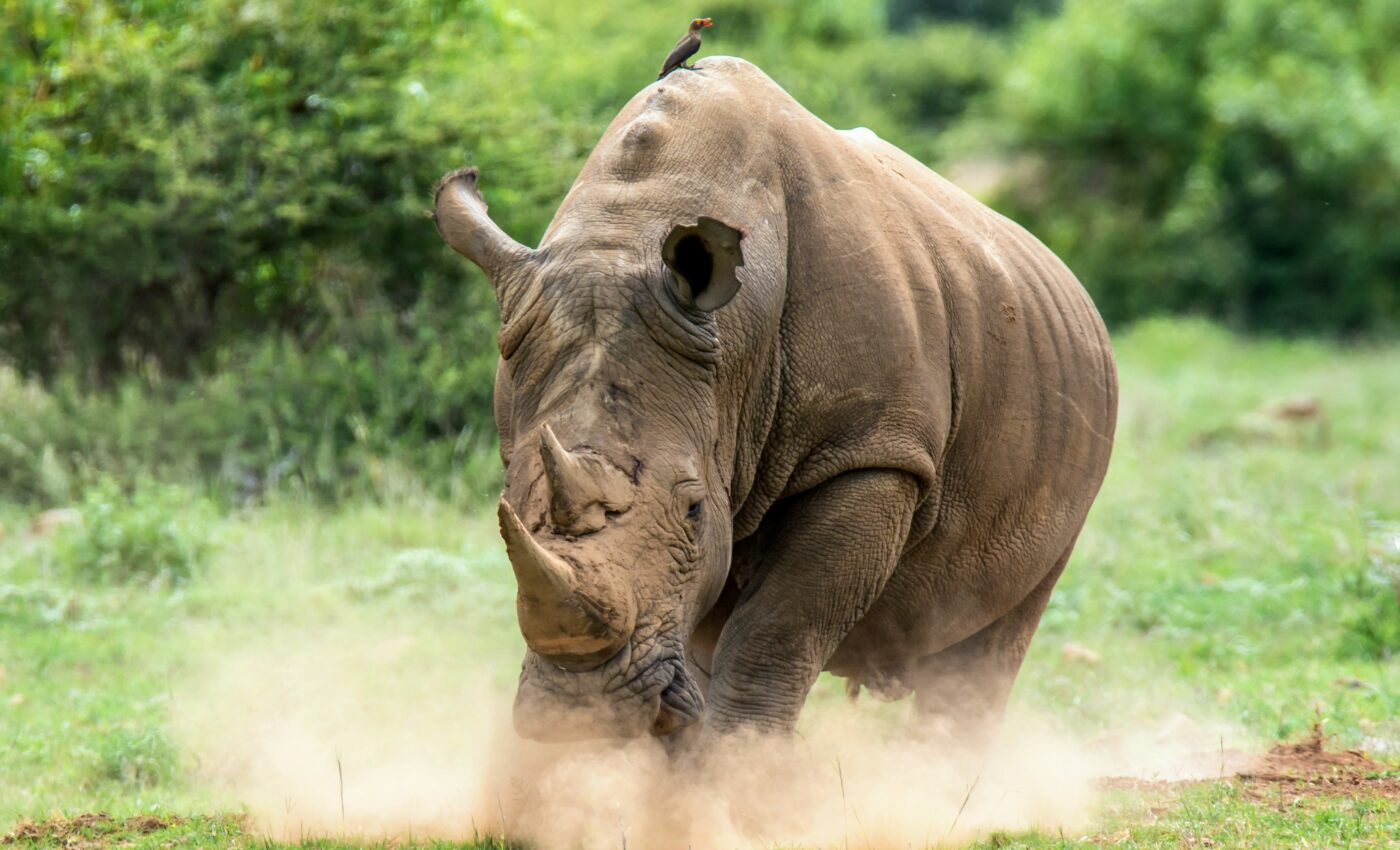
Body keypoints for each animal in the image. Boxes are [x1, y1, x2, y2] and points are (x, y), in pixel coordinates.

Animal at [433, 58, 1116, 745]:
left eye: (693, 510)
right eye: (507, 503)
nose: (574, 718)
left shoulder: (873, 450)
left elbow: (776, 632)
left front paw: (742, 766)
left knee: (994, 640)